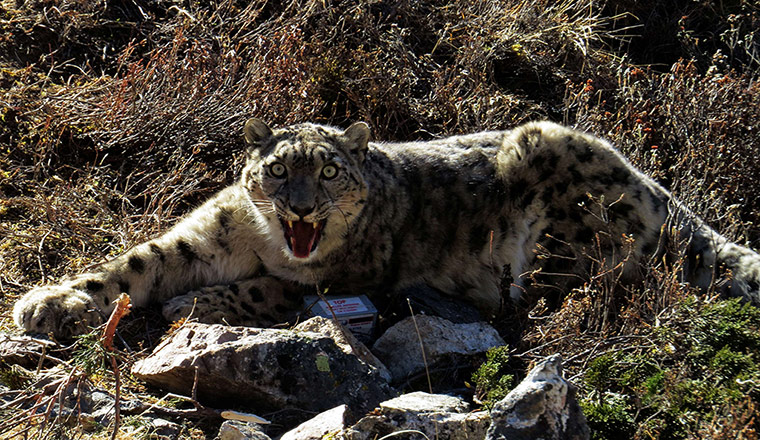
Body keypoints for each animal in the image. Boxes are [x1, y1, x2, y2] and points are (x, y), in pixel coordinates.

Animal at [13, 119, 760, 339]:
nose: (302, 208)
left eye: (329, 171)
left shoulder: (349, 278)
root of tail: (662, 193)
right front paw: (48, 303)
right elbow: (138, 262)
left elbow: (271, 290)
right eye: (278, 170)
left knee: (565, 292)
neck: (264, 243)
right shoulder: (207, 235)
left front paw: (194, 303)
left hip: (568, 218)